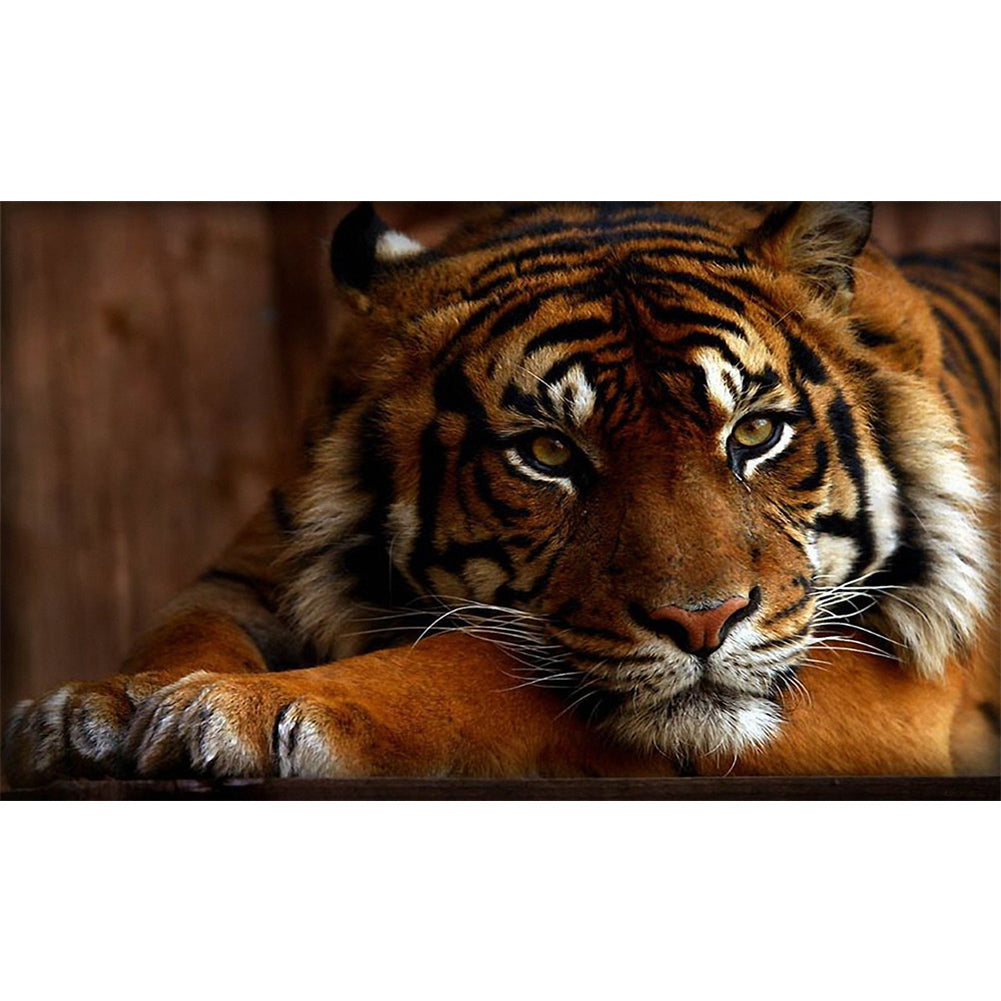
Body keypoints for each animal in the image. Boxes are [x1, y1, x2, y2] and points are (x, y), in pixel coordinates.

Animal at [3, 201, 999, 787]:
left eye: (753, 433)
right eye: (548, 452)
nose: (704, 622)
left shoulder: (894, 679)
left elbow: (478, 664)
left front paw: (243, 713)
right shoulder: (252, 569)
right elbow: (180, 632)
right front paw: (98, 710)